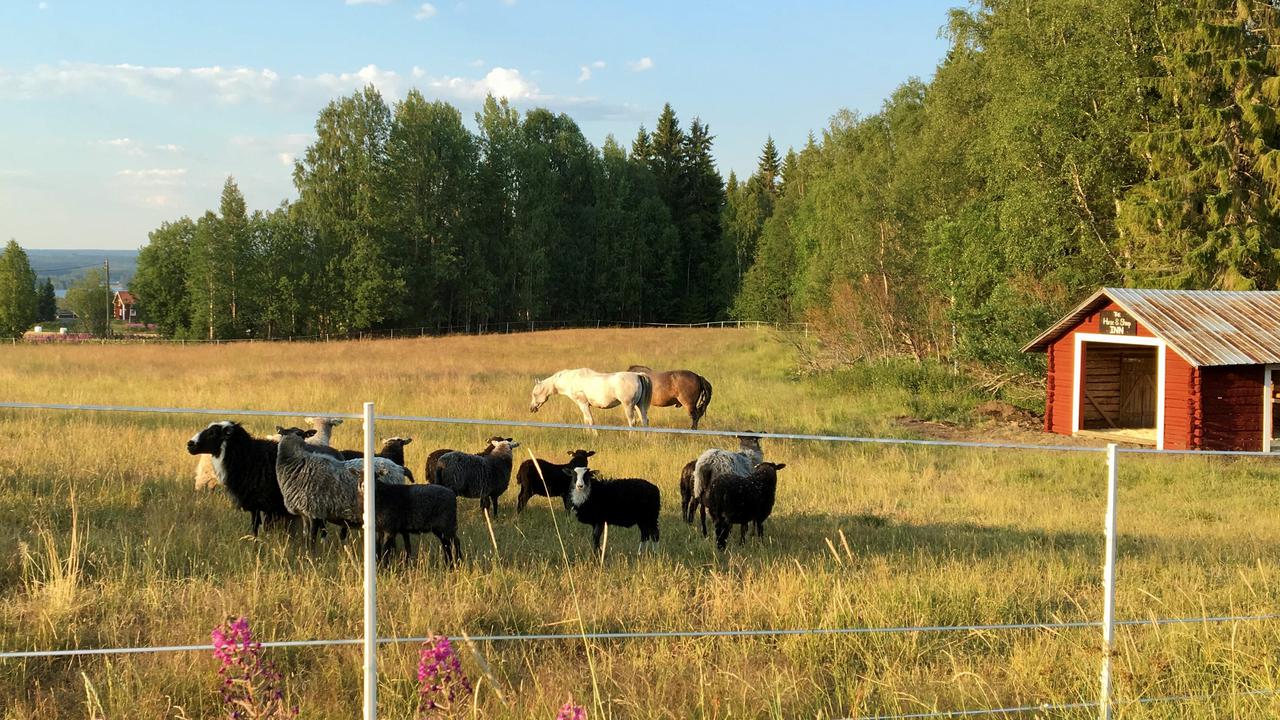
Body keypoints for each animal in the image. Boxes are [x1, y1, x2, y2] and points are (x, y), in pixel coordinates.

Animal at [274, 431, 408, 545]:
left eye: (302, 434)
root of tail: (397, 469)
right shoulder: (305, 513)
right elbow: (306, 537)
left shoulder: (314, 512)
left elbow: (311, 540)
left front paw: (311, 557)